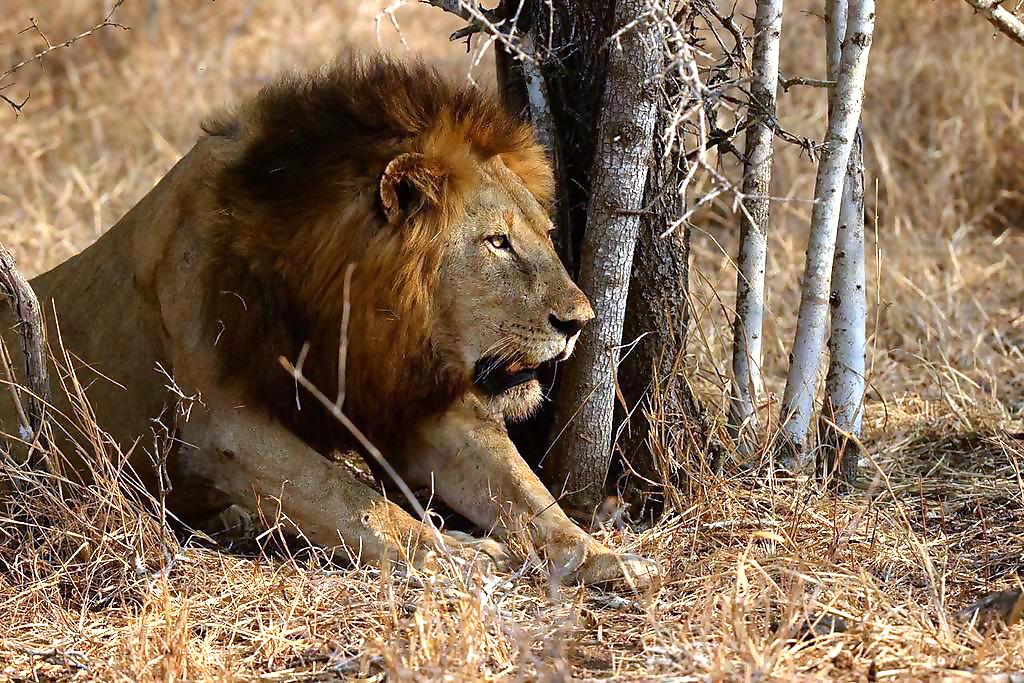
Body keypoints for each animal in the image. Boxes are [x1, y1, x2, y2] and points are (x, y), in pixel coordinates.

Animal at [0, 54, 655, 589]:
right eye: (497, 243)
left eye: (544, 235)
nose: (580, 321)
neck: (344, 307)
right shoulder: (220, 422)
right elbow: (348, 495)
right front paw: (455, 553)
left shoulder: (406, 403)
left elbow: (524, 490)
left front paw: (604, 554)